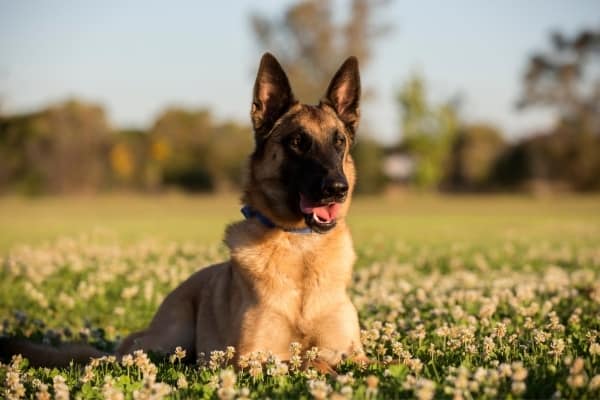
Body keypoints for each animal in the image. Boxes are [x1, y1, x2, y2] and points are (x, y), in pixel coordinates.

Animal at [1, 53, 366, 372]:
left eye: (339, 142)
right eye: (298, 142)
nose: (337, 188)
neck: (301, 246)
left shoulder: (356, 354)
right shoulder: (251, 356)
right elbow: (308, 361)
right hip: (168, 339)